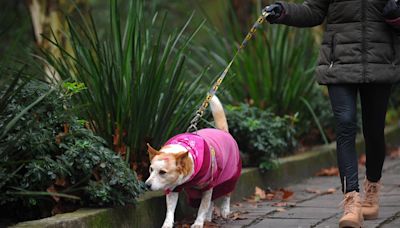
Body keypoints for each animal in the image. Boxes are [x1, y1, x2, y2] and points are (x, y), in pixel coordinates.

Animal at [146, 96, 242, 228]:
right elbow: (170, 210)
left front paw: (198, 223)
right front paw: (167, 224)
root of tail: (223, 132)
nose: (146, 185)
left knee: (226, 193)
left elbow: (203, 207)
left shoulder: (207, 185)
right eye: (151, 169)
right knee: (211, 201)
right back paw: (208, 218)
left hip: (230, 175)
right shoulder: (173, 188)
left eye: (162, 172)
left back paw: (224, 210)